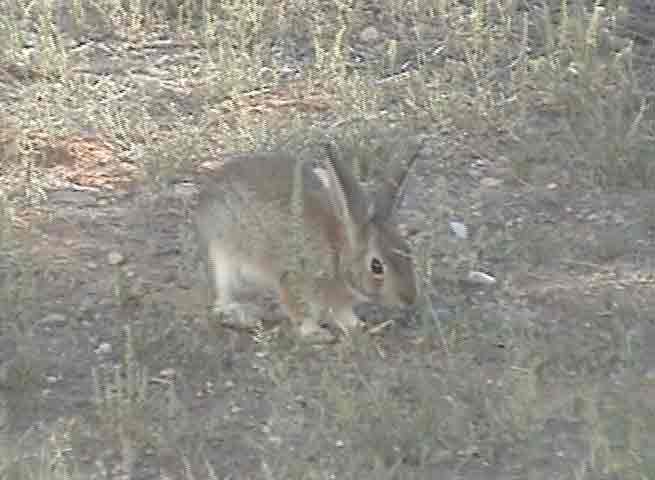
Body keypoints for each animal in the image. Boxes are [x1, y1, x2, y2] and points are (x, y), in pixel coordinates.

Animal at [196, 141, 420, 344]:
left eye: (407, 250)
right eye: (376, 266)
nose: (409, 299)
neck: (338, 256)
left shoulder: (339, 301)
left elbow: (344, 315)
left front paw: (360, 326)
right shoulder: (293, 279)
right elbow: (300, 312)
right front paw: (315, 334)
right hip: (223, 257)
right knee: (222, 296)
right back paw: (241, 315)